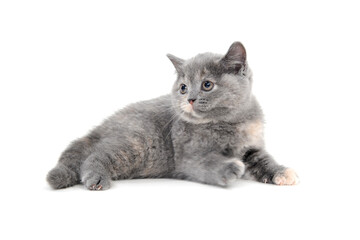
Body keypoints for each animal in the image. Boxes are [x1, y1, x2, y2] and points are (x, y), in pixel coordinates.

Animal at [48, 42, 300, 190]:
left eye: (207, 85)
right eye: (183, 87)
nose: (189, 99)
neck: (228, 123)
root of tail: (102, 126)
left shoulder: (252, 146)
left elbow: (264, 159)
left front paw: (281, 172)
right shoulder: (188, 155)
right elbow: (207, 162)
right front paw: (230, 168)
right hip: (135, 141)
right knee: (96, 154)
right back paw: (97, 178)